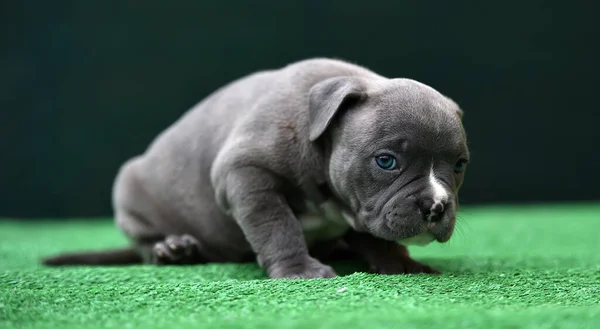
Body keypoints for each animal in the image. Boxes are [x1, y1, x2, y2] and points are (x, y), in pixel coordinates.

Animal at [44, 58, 472, 276]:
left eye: (459, 165)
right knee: (145, 242)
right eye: (386, 161)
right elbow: (276, 226)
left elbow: (376, 236)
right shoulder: (246, 175)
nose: (435, 206)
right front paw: (299, 270)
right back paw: (172, 250)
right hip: (130, 190)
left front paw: (400, 263)